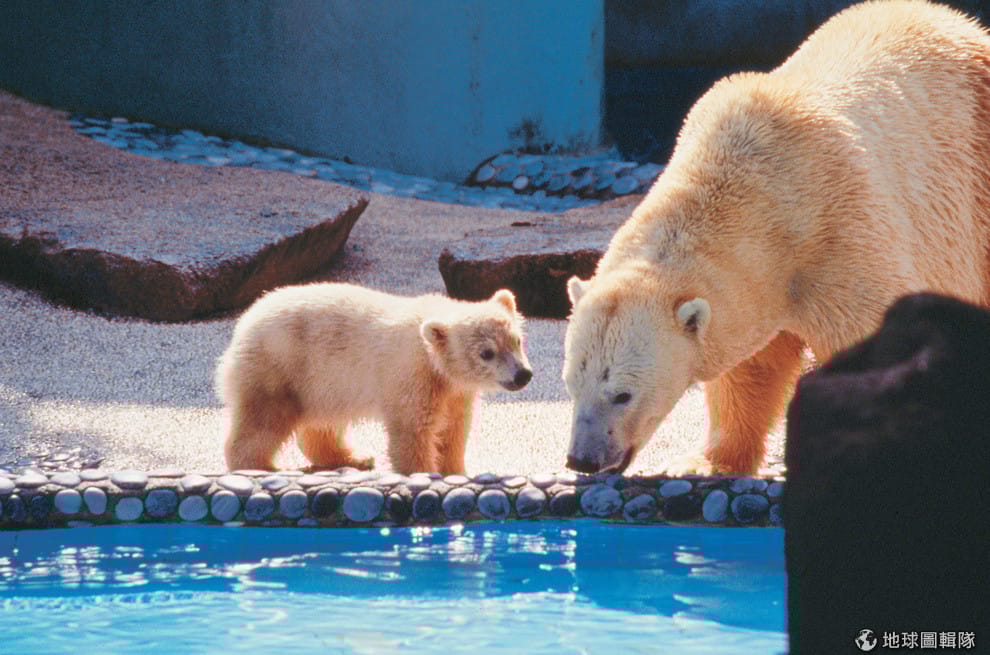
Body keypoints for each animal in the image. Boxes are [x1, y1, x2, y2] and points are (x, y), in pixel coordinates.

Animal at [216, 283, 532, 475]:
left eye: (516, 341)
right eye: (487, 353)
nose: (523, 375)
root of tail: (245, 321)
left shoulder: (454, 391)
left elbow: (452, 429)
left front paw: (455, 471)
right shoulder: (412, 375)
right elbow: (413, 430)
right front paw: (423, 474)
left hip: (322, 381)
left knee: (322, 424)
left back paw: (354, 458)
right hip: (279, 366)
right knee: (264, 418)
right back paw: (261, 467)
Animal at [562, 0, 990, 476]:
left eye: (622, 393)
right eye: (571, 383)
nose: (582, 459)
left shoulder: (842, 233)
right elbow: (751, 367)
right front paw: (708, 463)